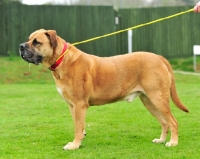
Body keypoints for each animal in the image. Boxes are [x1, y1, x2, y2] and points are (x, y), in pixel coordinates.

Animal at [19, 29, 189, 150]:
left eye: (36, 42)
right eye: (28, 39)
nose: (21, 46)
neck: (62, 59)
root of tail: (158, 57)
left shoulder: (79, 104)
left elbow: (77, 127)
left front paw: (74, 145)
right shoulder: (72, 106)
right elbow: (78, 125)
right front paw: (79, 140)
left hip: (158, 98)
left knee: (173, 122)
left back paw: (173, 143)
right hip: (149, 101)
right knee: (165, 122)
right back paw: (161, 140)